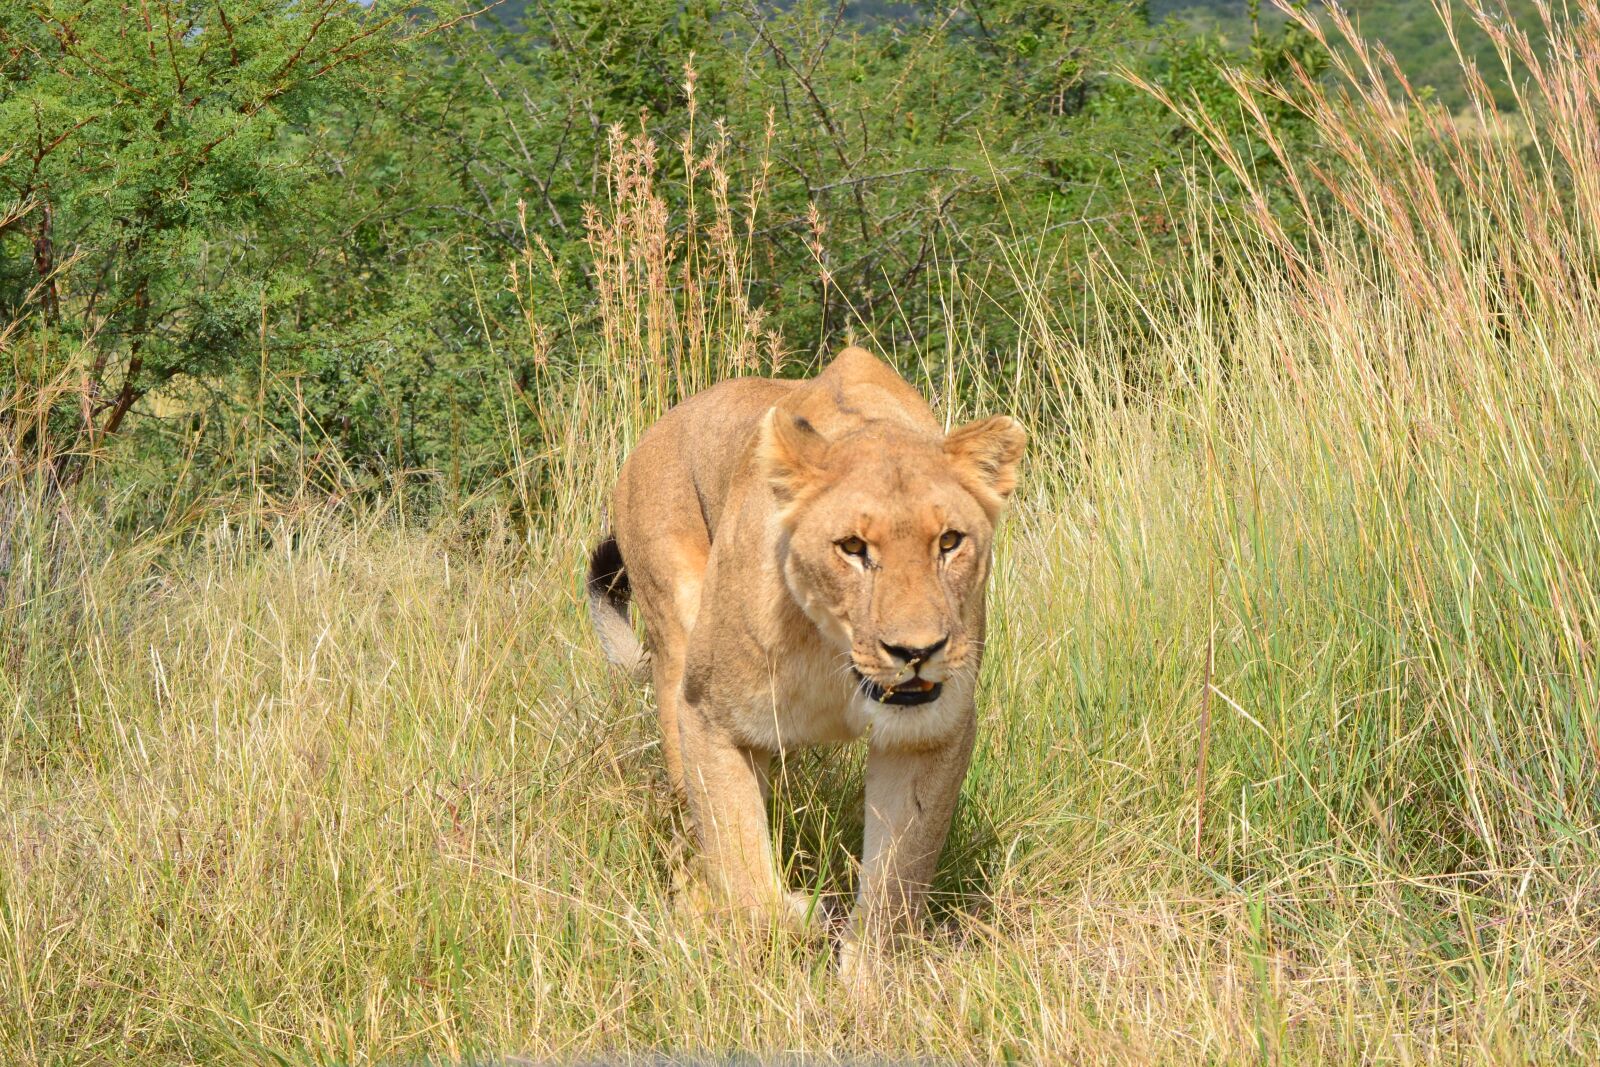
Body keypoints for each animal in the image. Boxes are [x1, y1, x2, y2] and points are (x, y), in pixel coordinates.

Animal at [586, 346, 1025, 973]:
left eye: (949, 541)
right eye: (852, 548)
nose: (916, 652)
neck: (834, 656)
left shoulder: (928, 736)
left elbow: (896, 880)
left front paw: (867, 981)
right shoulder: (709, 715)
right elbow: (743, 870)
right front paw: (801, 916)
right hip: (674, 636)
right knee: (694, 815)